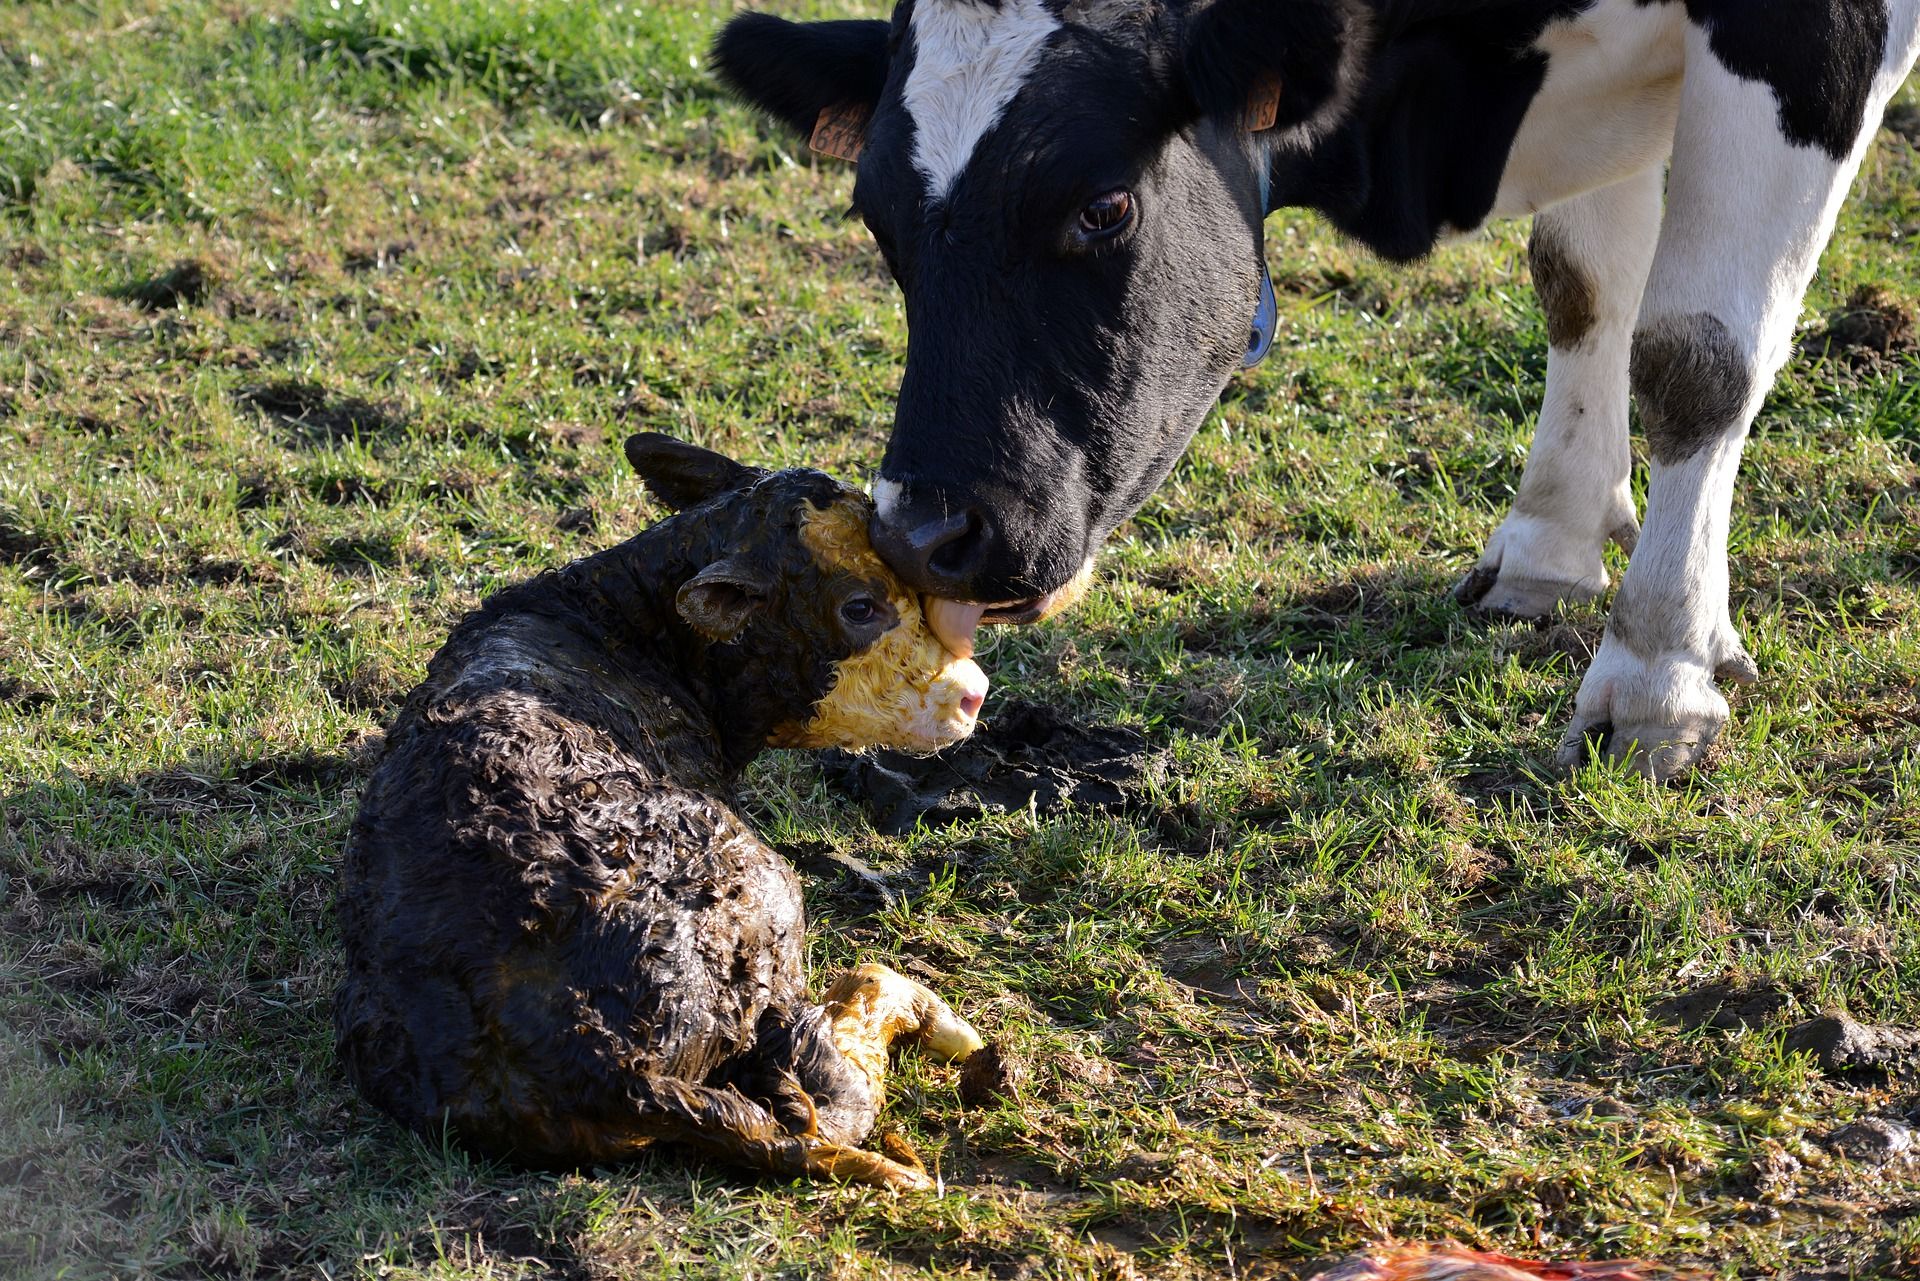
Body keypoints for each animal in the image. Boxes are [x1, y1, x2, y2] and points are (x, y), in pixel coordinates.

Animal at [336, 434, 983, 1190]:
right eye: (859, 606)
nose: (972, 692)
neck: (622, 624)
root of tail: (609, 1065)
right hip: (768, 904)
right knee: (826, 1098)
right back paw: (927, 1015)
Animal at [710, 0, 1920, 783]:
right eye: (877, 217)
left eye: (1104, 205)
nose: (923, 534)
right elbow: (1582, 285)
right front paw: (1553, 547)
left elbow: (1696, 356)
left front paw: (1659, 672)